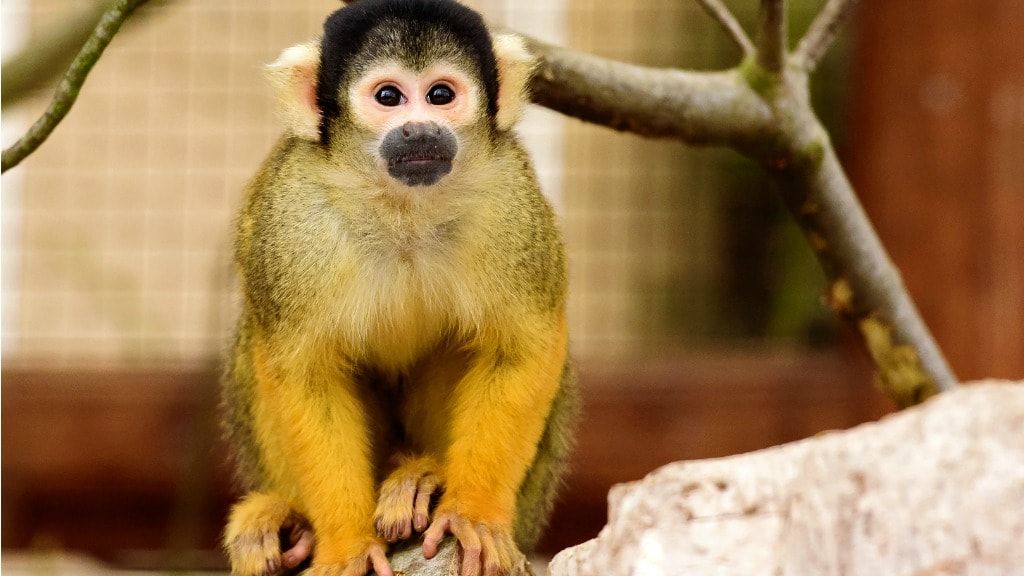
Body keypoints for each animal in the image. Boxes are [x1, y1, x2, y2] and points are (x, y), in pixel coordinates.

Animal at [219, 1, 579, 575]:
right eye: (388, 97)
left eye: (441, 95)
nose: (418, 130)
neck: (401, 208)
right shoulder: (292, 218)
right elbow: (304, 372)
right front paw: (345, 545)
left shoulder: (509, 197)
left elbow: (524, 345)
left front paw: (473, 514)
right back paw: (288, 522)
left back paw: (421, 479)